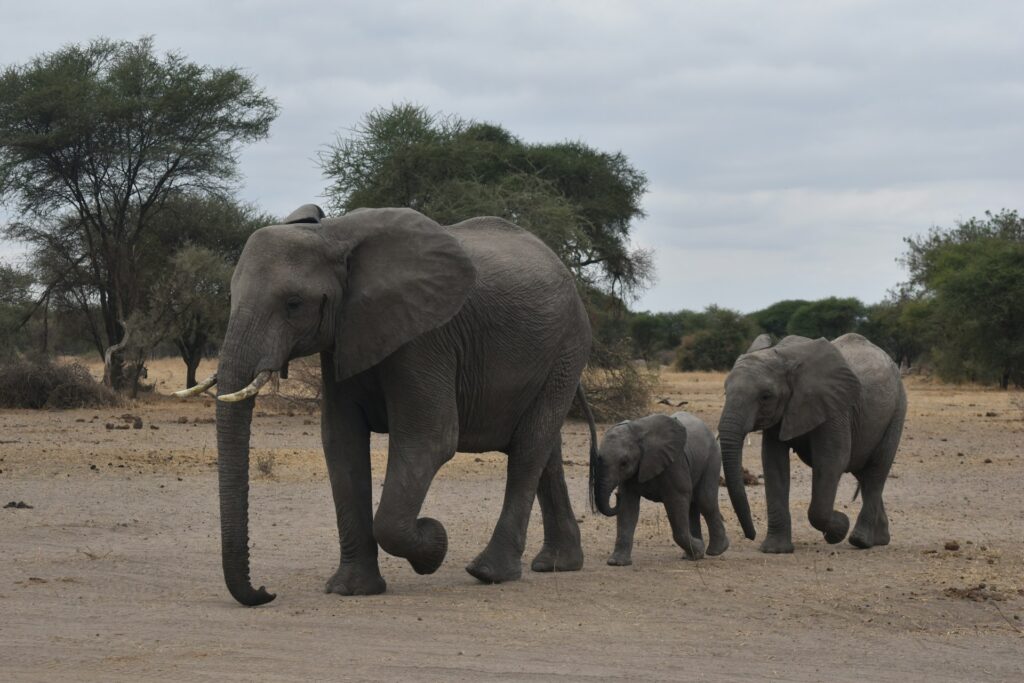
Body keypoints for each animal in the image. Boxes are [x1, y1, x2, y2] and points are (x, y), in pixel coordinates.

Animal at [178, 204, 597, 606]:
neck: (333, 234)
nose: (266, 592)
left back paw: (489, 572)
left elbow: (430, 440)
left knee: (529, 448)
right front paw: (350, 590)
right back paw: (557, 564)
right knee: (545, 451)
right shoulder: (343, 338)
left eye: (293, 304)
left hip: (568, 347)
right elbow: (341, 443)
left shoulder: (425, 338)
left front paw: (434, 544)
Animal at [591, 412, 729, 565]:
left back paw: (715, 551)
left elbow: (677, 501)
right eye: (597, 459)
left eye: (624, 463)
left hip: (712, 458)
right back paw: (692, 555)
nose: (616, 495)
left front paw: (699, 549)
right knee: (694, 505)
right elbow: (628, 508)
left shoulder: (675, 463)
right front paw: (617, 563)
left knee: (705, 501)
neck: (637, 432)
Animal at [718, 333, 907, 553]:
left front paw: (839, 527)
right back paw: (880, 539)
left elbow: (832, 461)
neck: (784, 356)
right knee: (863, 473)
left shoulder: (835, 407)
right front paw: (776, 550)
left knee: (876, 471)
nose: (751, 535)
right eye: (725, 391)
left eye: (766, 397)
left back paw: (861, 540)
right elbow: (774, 464)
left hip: (897, 410)